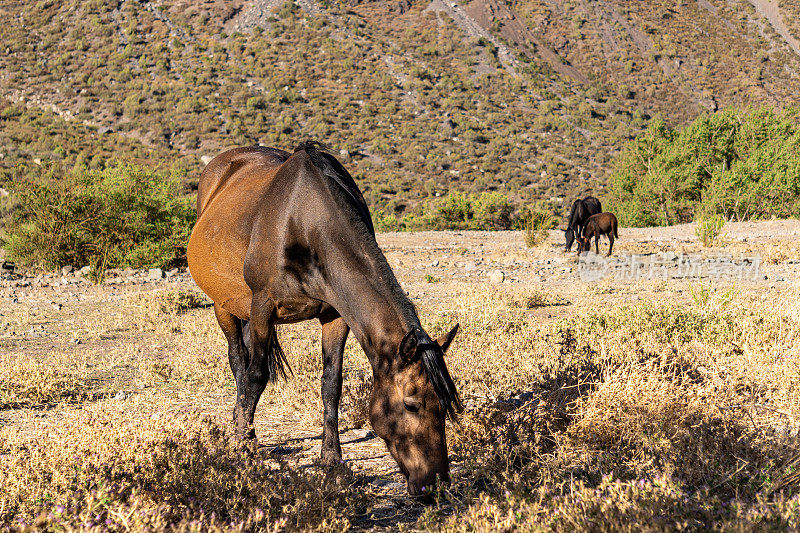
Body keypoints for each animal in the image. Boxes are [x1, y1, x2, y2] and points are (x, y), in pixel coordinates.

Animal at [185, 141, 460, 494]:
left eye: (444, 405)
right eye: (411, 404)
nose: (435, 484)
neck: (304, 224)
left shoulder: (335, 315)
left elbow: (331, 383)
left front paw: (332, 460)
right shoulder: (263, 307)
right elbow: (256, 376)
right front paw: (240, 449)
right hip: (224, 305)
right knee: (238, 361)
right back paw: (245, 432)